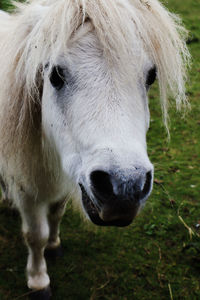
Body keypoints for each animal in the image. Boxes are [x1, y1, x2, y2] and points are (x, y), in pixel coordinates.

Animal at [0, 0, 191, 296]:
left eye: (151, 76)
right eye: (55, 74)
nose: (124, 187)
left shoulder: (67, 178)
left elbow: (56, 214)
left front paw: (54, 245)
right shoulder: (28, 191)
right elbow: (35, 236)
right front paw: (38, 280)